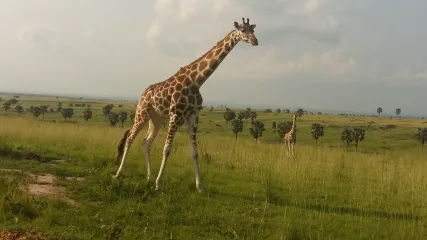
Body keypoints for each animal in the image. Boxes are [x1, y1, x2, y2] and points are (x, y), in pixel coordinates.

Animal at [113, 17, 260, 193]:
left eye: (253, 30)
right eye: (243, 30)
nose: (255, 41)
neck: (196, 81)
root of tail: (143, 93)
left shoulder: (193, 115)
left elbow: (195, 152)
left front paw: (200, 186)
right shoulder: (175, 115)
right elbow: (167, 149)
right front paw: (159, 184)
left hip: (157, 119)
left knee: (146, 143)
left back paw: (149, 177)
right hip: (142, 113)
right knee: (129, 138)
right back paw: (119, 173)